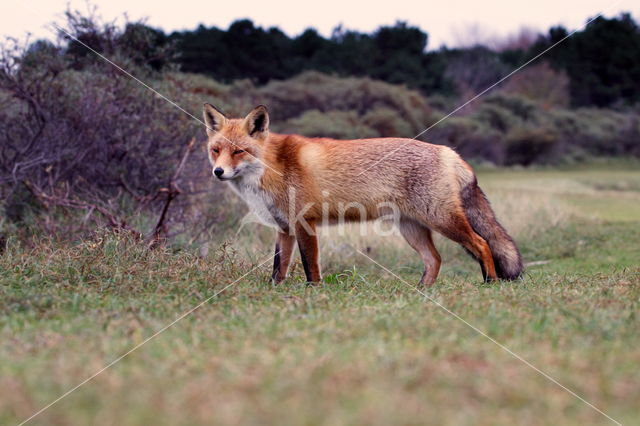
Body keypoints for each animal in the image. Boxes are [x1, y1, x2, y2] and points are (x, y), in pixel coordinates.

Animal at [205, 104, 524, 286]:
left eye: (239, 151)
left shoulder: (304, 223)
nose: (218, 172)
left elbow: (310, 265)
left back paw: (490, 283)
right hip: (412, 228)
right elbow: (277, 267)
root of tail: (450, 152)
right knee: (434, 259)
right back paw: (421, 291)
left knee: (482, 243)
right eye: (216, 150)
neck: (274, 165)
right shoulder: (285, 228)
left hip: (442, 219)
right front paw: (276, 291)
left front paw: (313, 293)